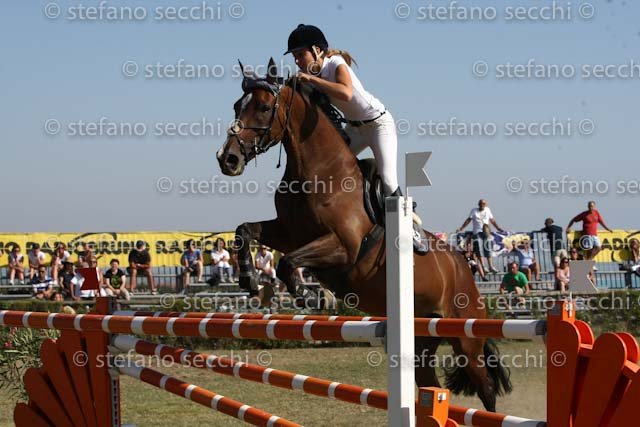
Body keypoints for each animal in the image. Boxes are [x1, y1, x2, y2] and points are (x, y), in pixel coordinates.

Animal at [216, 59, 511, 411]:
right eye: (237, 106)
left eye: (262, 107)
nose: (227, 159)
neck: (318, 170)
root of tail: (463, 265)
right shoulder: (288, 233)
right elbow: (245, 231)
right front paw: (251, 279)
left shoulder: (343, 246)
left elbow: (288, 263)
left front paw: (314, 296)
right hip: (422, 339)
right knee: (430, 382)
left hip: (466, 336)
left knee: (486, 389)